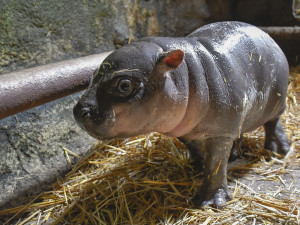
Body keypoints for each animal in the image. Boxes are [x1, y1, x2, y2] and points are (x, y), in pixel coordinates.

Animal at [74, 22, 290, 208]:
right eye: (91, 76)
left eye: (124, 85)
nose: (78, 111)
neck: (183, 74)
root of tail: (266, 34)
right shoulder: (184, 131)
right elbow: (198, 150)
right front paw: (198, 165)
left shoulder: (220, 133)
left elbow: (215, 165)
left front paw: (211, 202)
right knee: (241, 130)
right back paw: (237, 153)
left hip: (277, 102)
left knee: (273, 123)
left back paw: (277, 150)